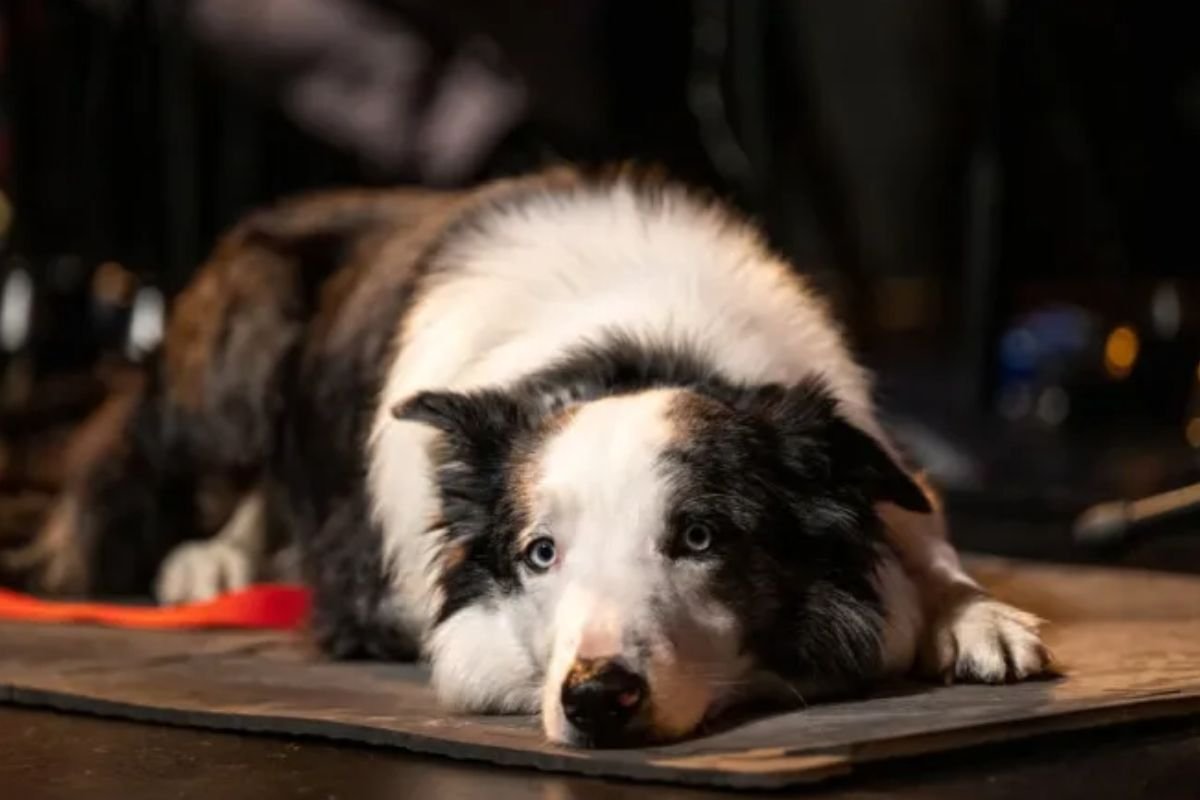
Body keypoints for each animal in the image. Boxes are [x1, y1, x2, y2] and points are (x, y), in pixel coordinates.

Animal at [9, 165, 1046, 748]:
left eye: (701, 538)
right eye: (540, 554)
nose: (597, 700)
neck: (636, 342)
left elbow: (922, 541)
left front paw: (975, 615)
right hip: (234, 347)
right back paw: (215, 556)